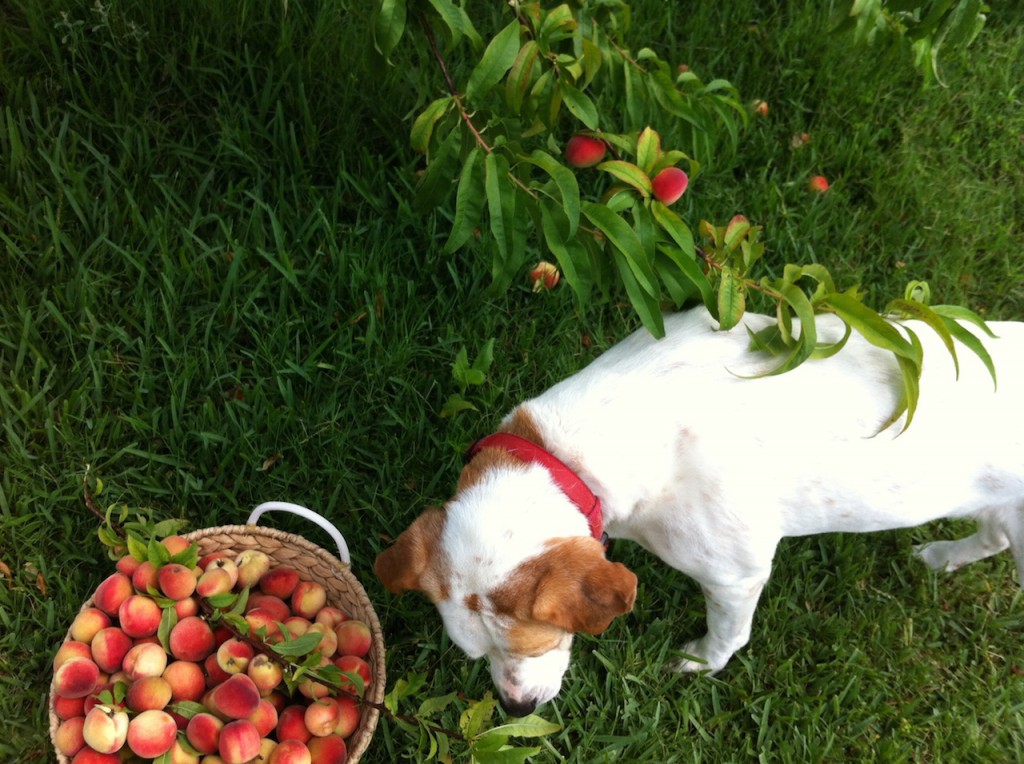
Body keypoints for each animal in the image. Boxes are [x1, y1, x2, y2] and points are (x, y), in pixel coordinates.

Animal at [376, 303, 1024, 712]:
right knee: (990, 536)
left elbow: (727, 636)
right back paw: (942, 558)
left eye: (541, 644)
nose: (514, 709)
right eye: (472, 653)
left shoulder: (735, 575)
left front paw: (701, 664)